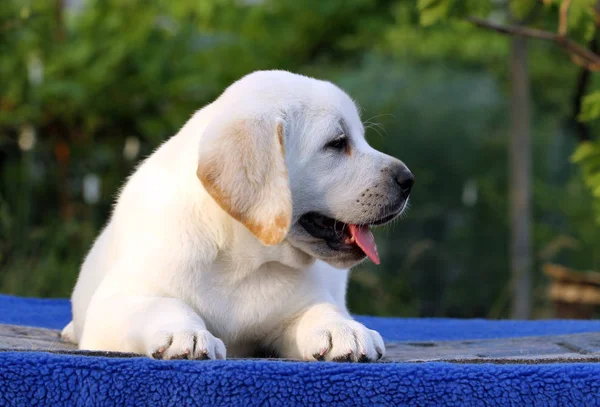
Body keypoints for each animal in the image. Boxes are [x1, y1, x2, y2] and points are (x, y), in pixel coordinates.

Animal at [64, 71, 412, 364]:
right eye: (337, 143)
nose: (408, 180)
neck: (242, 261)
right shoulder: (117, 304)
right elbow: (163, 304)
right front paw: (187, 333)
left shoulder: (298, 305)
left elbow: (321, 309)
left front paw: (343, 329)